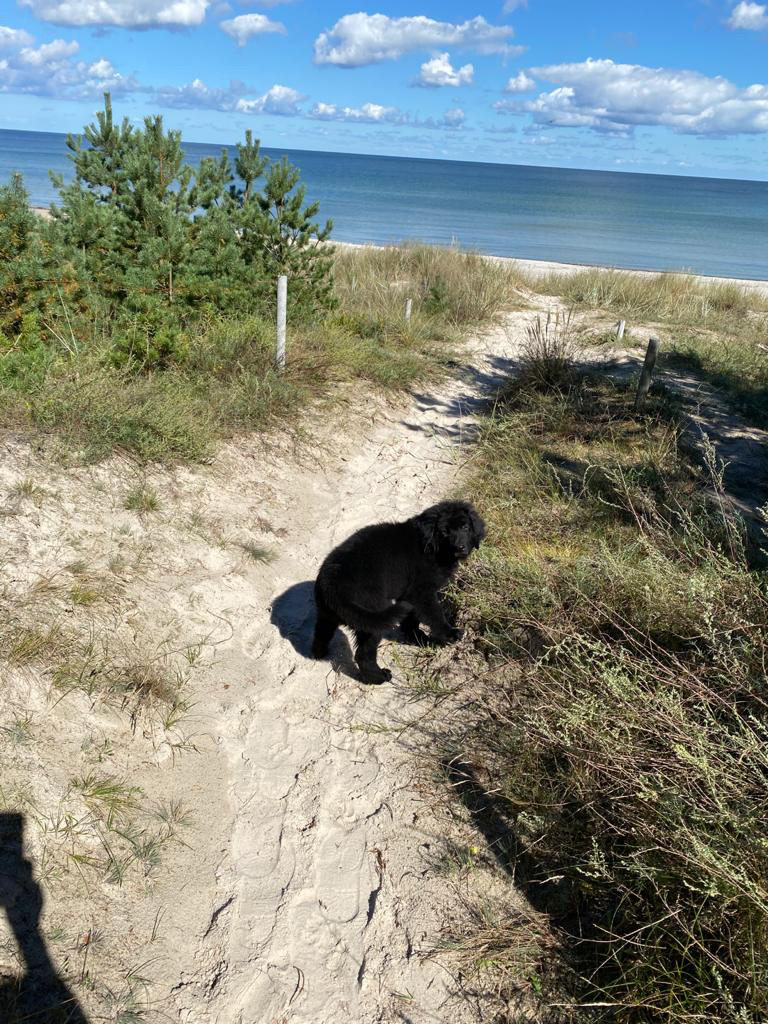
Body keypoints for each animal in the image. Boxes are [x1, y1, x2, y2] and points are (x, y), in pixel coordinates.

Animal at [311, 500, 485, 684]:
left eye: (465, 527)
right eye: (444, 532)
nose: (460, 547)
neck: (431, 547)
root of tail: (331, 584)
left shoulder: (409, 595)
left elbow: (411, 620)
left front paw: (418, 639)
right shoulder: (421, 593)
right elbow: (434, 615)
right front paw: (449, 633)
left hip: (328, 614)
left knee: (321, 633)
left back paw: (319, 654)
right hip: (373, 617)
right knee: (363, 654)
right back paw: (379, 677)